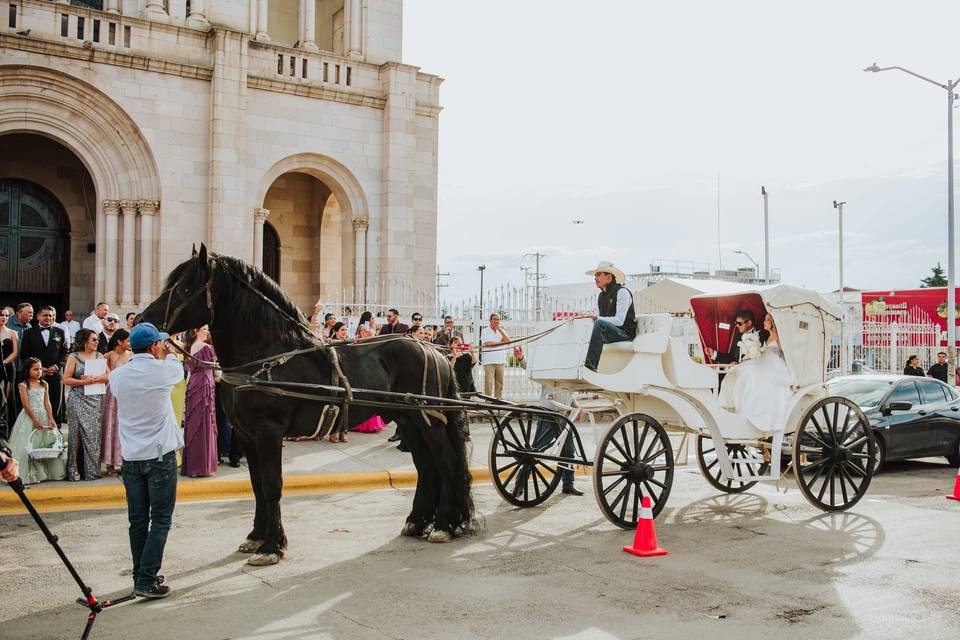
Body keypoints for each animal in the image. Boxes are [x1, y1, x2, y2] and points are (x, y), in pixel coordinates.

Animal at [139, 245, 476, 564]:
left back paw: (443, 525)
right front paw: (256, 536)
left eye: (184, 288)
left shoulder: (268, 432)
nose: (143, 321)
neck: (265, 356)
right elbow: (256, 483)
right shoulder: (245, 435)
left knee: (445, 463)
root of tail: (433, 350)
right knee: (426, 467)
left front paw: (273, 546)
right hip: (409, 419)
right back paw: (418, 522)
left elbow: (272, 484)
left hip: (429, 420)